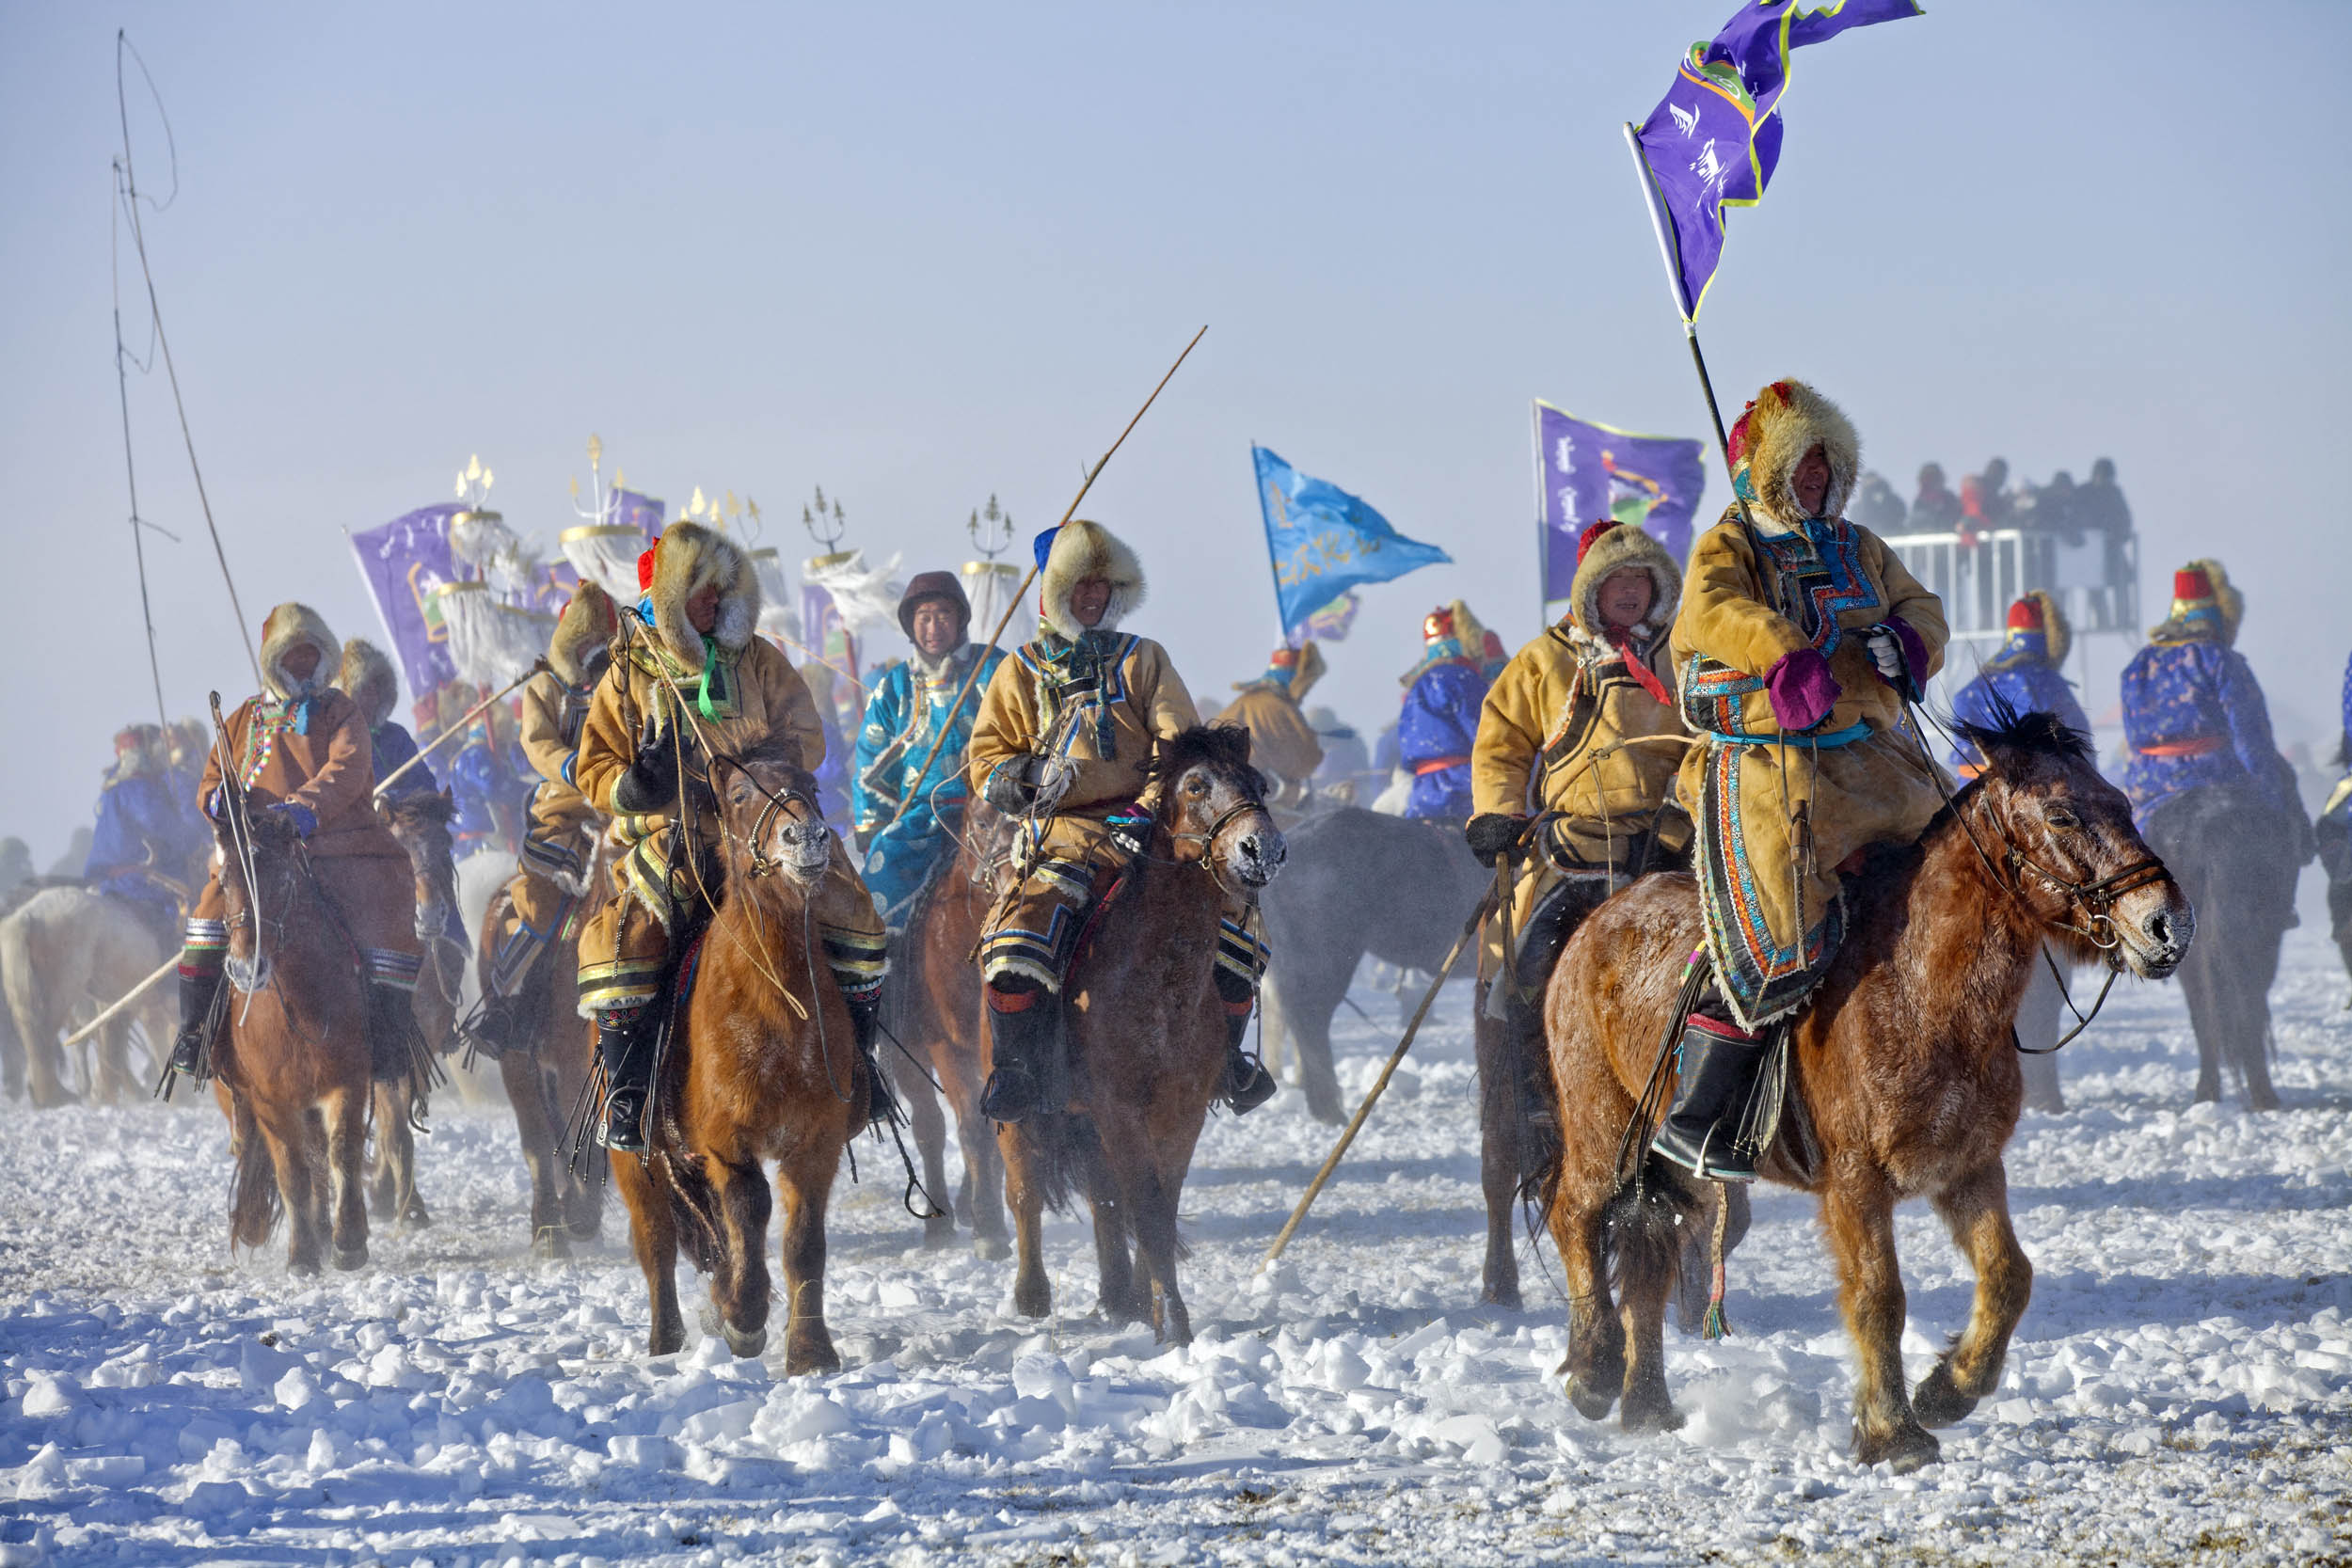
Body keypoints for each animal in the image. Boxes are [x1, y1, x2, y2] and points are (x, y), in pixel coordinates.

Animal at [209, 789, 378, 1278]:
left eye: (282, 882)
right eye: (224, 881)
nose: (246, 969)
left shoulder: (348, 1081)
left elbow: (342, 1153)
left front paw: (349, 1242)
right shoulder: (270, 1100)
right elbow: (292, 1172)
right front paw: (302, 1254)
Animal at [607, 742, 866, 1363]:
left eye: (811, 788)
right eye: (741, 794)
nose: (807, 836)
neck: (777, 1006)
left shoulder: (816, 1140)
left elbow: (804, 1241)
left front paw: (810, 1351)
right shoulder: (728, 1140)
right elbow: (748, 1209)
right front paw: (744, 1317)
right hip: (638, 1159)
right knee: (656, 1242)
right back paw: (665, 1341)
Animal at [997, 728, 1289, 1354]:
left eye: (1258, 783)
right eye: (1196, 785)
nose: (1263, 849)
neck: (1160, 984)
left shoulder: (1179, 1112)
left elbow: (1157, 1203)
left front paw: (1154, 1309)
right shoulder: (1120, 1107)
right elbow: (1148, 1208)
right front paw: (1174, 1324)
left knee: (1105, 1196)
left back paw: (1120, 1297)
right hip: (1020, 1108)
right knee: (1024, 1188)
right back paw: (1033, 1293)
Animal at [1543, 709, 2183, 1476]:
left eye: (2119, 800)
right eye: (2061, 813)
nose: (2167, 923)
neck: (1919, 992)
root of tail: (1595, 923)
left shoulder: (1968, 1167)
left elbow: (2008, 1276)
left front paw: (1948, 1389)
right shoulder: (1854, 1182)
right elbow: (1880, 1296)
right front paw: (1894, 1433)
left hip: (1672, 1161)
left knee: (1648, 1253)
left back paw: (1646, 1407)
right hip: (1602, 1127)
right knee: (1575, 1215)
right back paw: (1594, 1369)